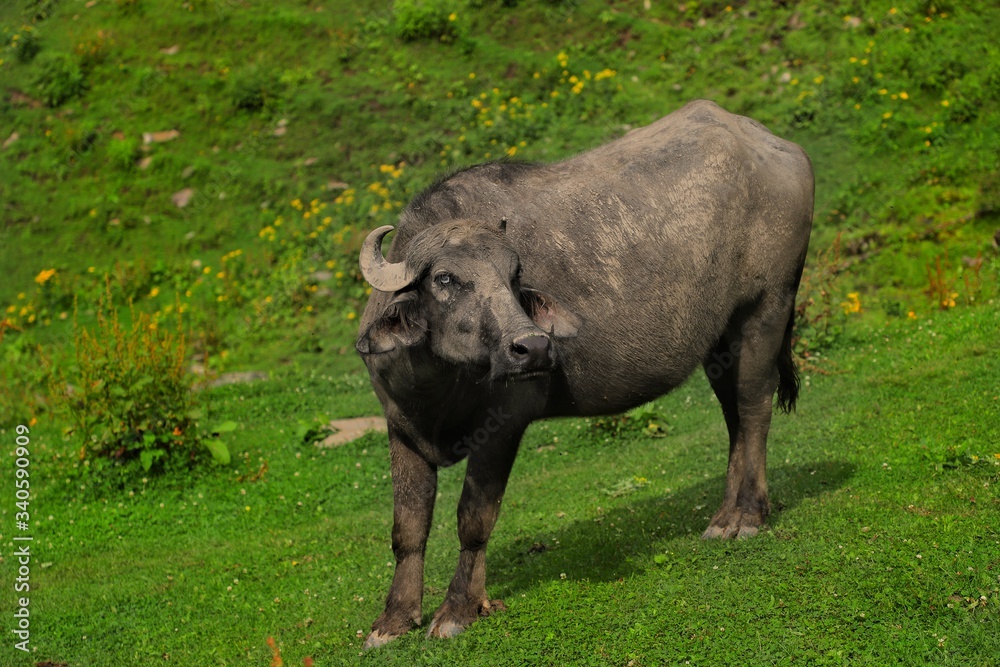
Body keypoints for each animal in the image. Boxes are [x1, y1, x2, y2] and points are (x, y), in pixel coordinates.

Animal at [355, 100, 814, 647]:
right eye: (445, 279)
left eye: (513, 277)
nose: (532, 347)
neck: (442, 388)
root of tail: (777, 149)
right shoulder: (401, 427)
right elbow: (407, 529)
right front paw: (394, 619)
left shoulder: (503, 426)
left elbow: (473, 519)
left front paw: (459, 609)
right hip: (719, 340)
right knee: (733, 418)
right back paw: (723, 516)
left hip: (767, 308)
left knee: (754, 405)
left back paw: (748, 516)